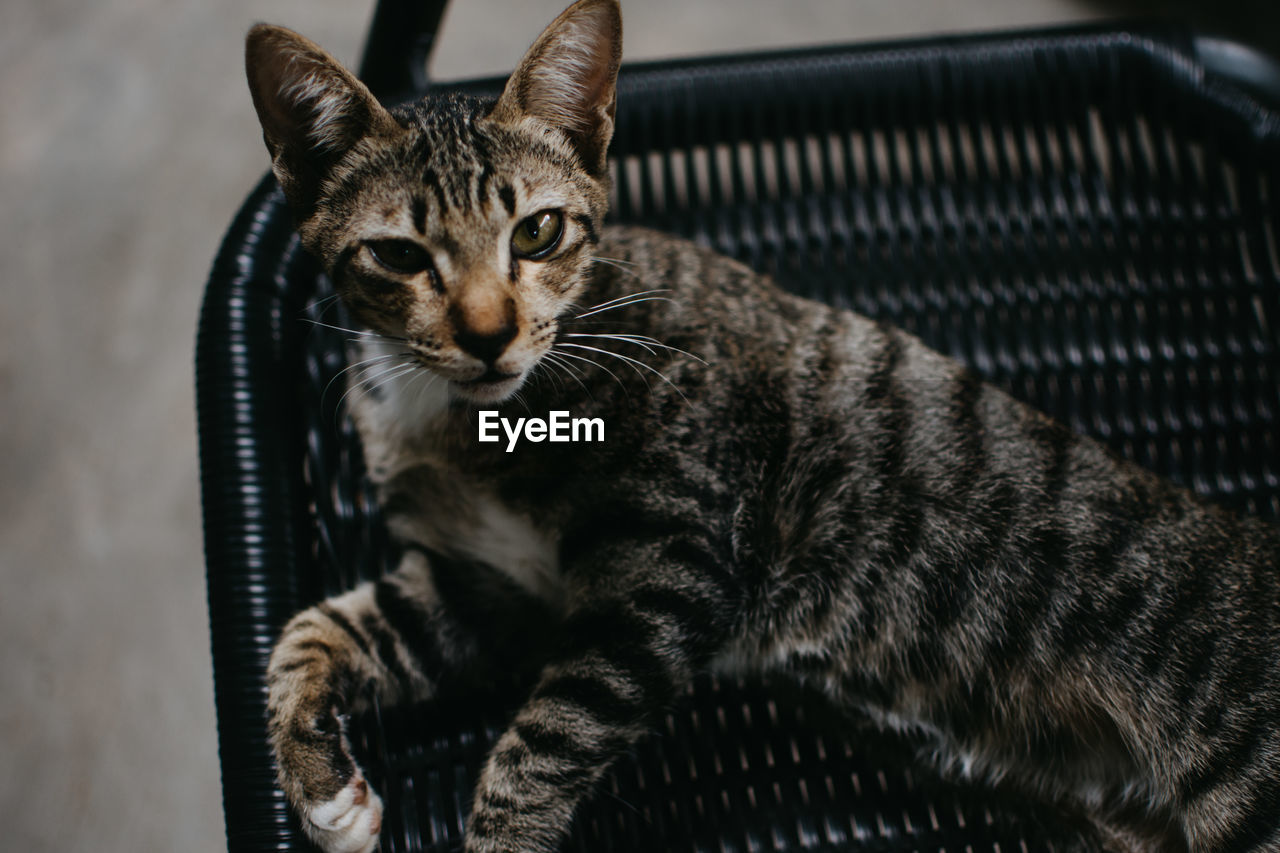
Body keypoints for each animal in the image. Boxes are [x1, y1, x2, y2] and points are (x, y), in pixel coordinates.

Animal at [241, 3, 1280, 845]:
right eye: (397, 254)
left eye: (537, 232)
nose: (489, 335)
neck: (459, 417)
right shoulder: (484, 592)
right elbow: (308, 630)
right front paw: (323, 788)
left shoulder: (676, 562)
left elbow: (539, 743)